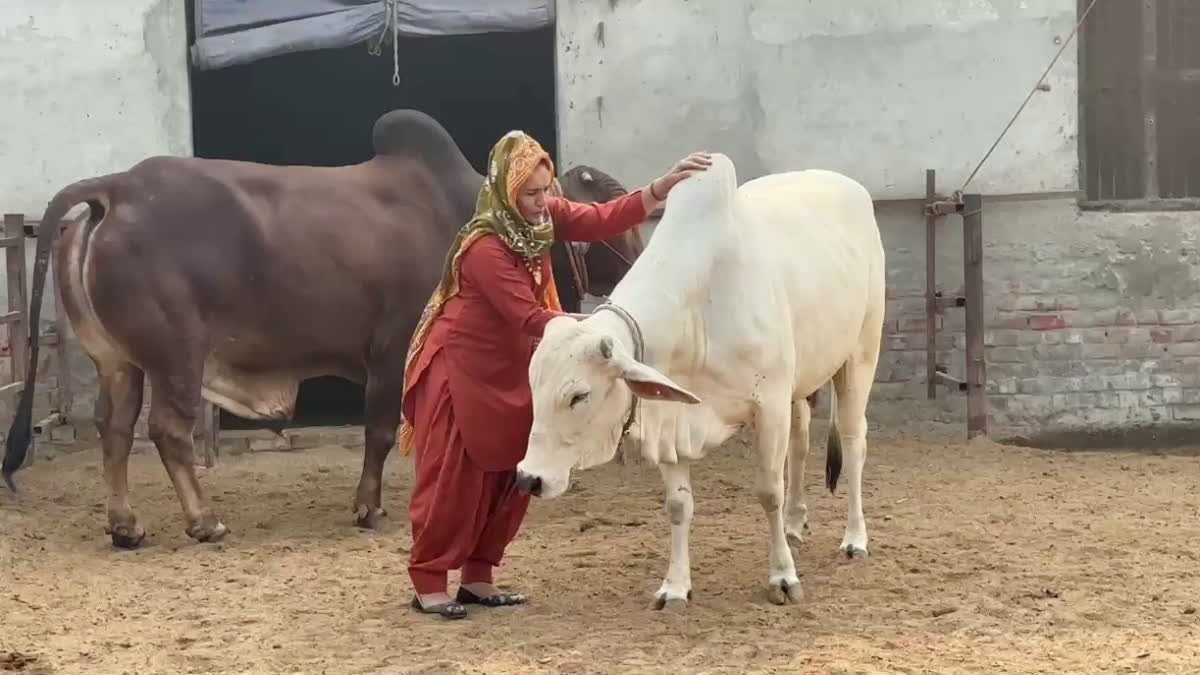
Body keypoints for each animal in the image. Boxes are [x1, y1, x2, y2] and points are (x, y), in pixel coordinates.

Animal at [0, 106, 648, 547]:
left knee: (113, 430)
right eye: (611, 228)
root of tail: (117, 187)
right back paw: (204, 520)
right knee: (167, 432)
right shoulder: (392, 351)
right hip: (177, 355)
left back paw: (126, 526)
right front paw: (369, 508)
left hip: (119, 362)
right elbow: (382, 432)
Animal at [511, 152, 888, 605]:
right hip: (801, 383)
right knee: (800, 444)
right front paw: (675, 586)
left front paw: (782, 577)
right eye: (533, 388)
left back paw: (855, 538)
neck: (699, 307)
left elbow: (769, 491)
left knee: (852, 442)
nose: (529, 478)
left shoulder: (769, 405)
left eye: (578, 395)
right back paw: (795, 524)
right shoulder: (672, 417)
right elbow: (678, 506)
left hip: (860, 354)